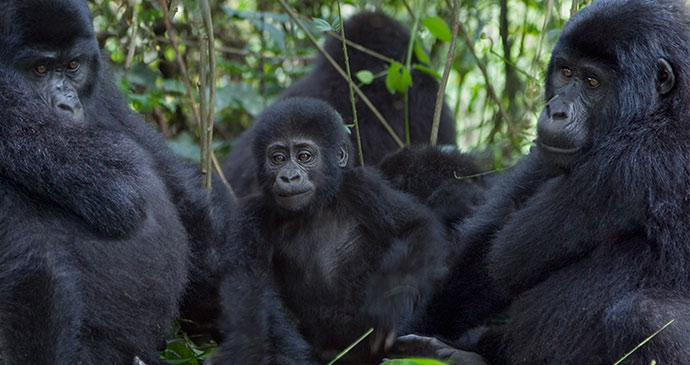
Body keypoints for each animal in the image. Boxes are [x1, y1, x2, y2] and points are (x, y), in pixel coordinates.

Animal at [0, 0, 234, 360]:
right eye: (39, 69)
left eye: (72, 65)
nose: (67, 105)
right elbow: (32, 271)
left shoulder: (104, 88)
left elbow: (175, 185)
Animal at [210, 97, 446, 364]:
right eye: (278, 158)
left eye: (304, 156)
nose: (289, 177)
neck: (314, 209)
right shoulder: (251, 214)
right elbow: (247, 285)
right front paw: (246, 348)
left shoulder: (361, 185)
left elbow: (415, 226)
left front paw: (391, 302)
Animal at [420, 0, 690, 362]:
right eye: (566, 72)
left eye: (592, 82)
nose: (556, 111)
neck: (665, 106)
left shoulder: (637, 159)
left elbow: (506, 256)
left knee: (646, 316)